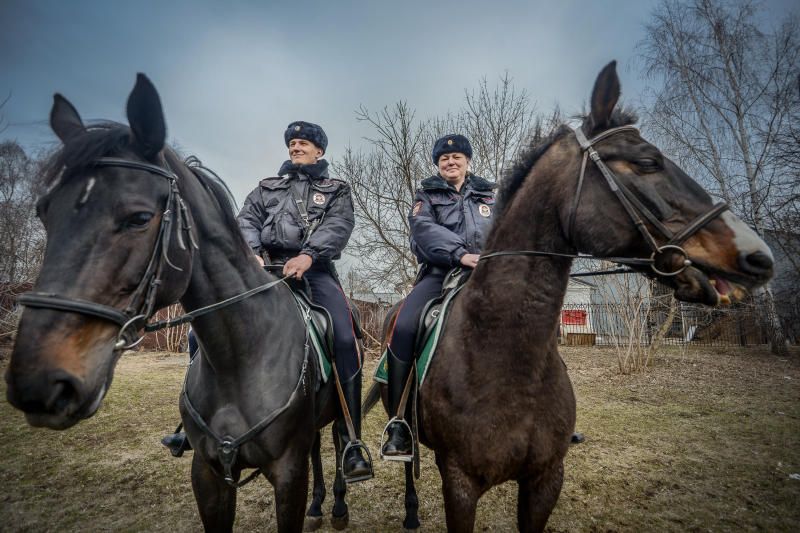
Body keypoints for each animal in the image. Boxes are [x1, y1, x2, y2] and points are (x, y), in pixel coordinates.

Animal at [1, 75, 356, 532]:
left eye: (138, 218)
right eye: (45, 212)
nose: (38, 383)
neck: (241, 357)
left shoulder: (287, 473)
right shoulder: (207, 473)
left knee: (338, 441)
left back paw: (339, 504)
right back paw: (317, 505)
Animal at [362, 60, 776, 528]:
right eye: (647, 162)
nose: (758, 257)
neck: (504, 357)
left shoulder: (546, 480)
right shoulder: (460, 482)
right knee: (408, 465)